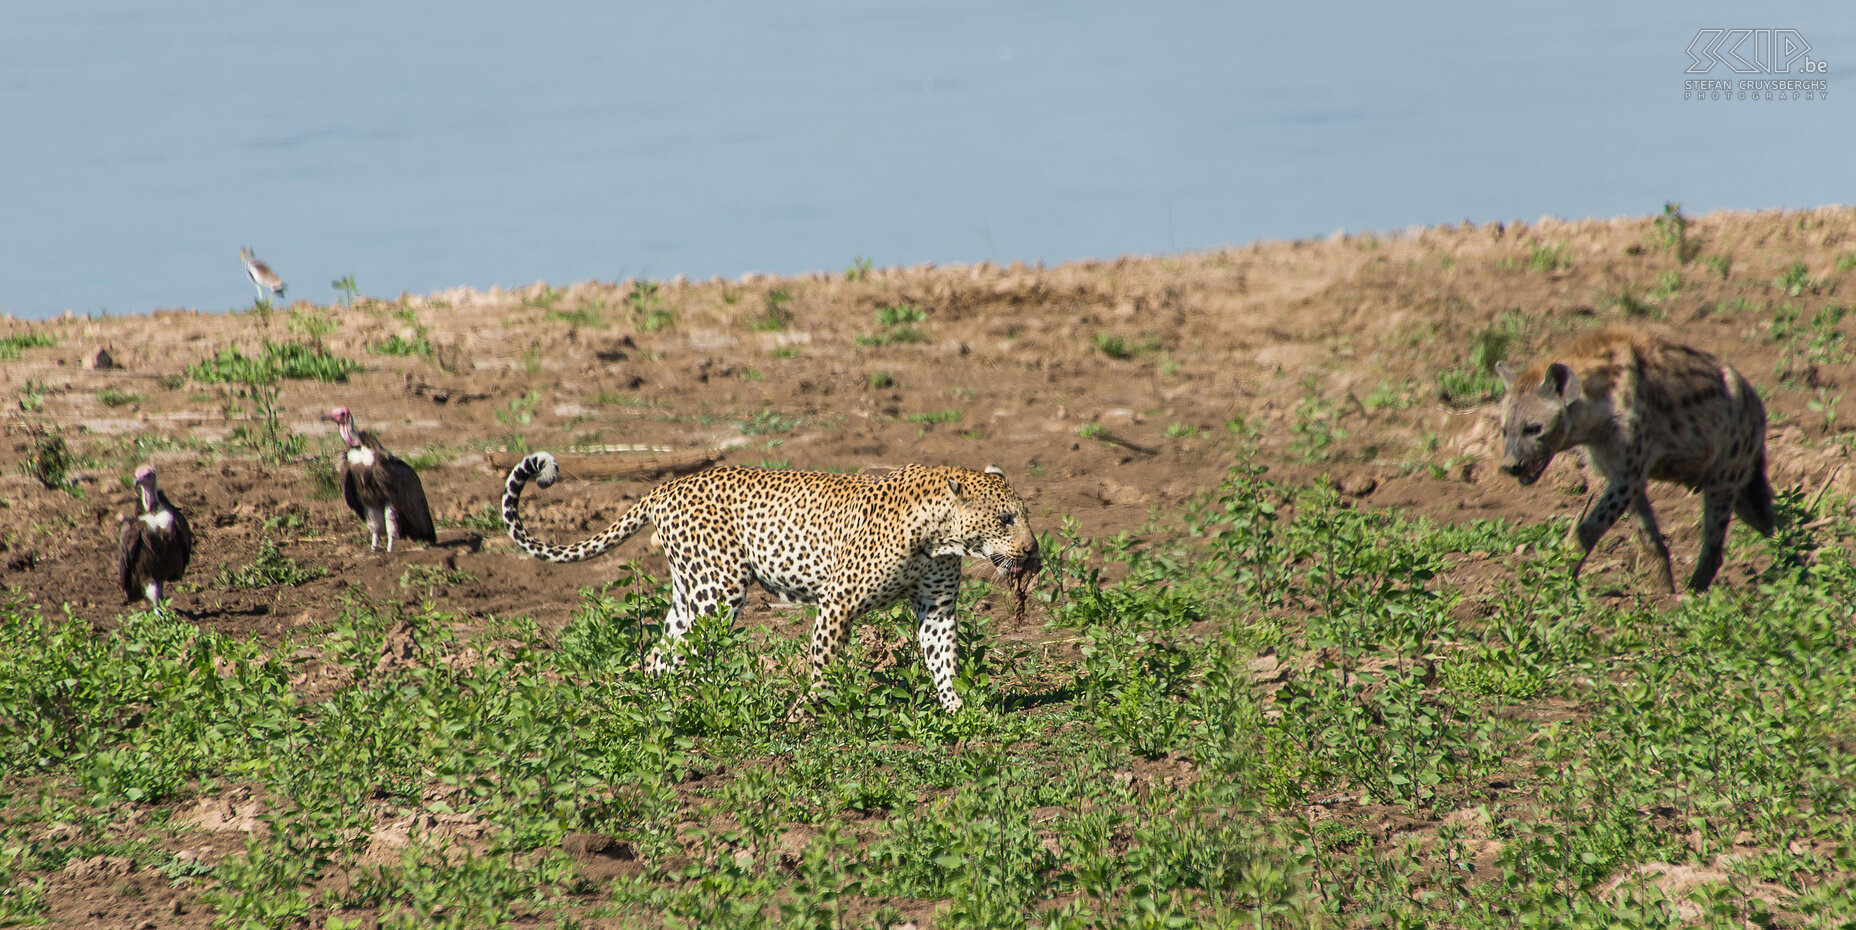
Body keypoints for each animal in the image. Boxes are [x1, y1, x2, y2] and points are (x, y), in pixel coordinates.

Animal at [501, 451, 1039, 709]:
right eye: (1006, 518)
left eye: (1025, 515)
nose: (1034, 553)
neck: (943, 536)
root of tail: (665, 486)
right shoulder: (838, 600)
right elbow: (823, 664)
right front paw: (810, 712)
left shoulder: (937, 608)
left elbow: (943, 661)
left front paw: (958, 711)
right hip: (716, 592)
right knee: (677, 654)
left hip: (689, 596)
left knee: (658, 657)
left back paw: (659, 712)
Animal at [1492, 322, 1766, 590]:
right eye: (1504, 430)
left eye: (1534, 428)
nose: (1511, 466)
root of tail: (1757, 403)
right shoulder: (1616, 470)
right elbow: (1648, 538)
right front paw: (1661, 592)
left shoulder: (1629, 472)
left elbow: (1589, 528)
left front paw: (1559, 578)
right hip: (1740, 487)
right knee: (1764, 516)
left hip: (1728, 468)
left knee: (1716, 539)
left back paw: (1695, 592)